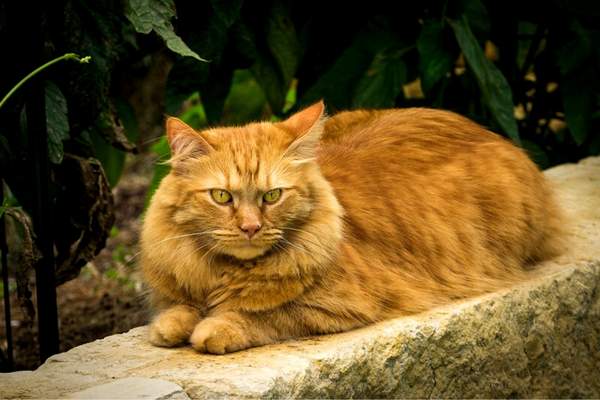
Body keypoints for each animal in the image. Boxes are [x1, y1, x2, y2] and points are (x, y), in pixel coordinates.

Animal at [141, 101, 564, 354]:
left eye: (273, 196)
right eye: (222, 196)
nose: (250, 227)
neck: (226, 273)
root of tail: (489, 132)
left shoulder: (340, 306)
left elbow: (267, 314)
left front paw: (214, 328)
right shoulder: (175, 287)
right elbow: (178, 308)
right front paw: (173, 324)